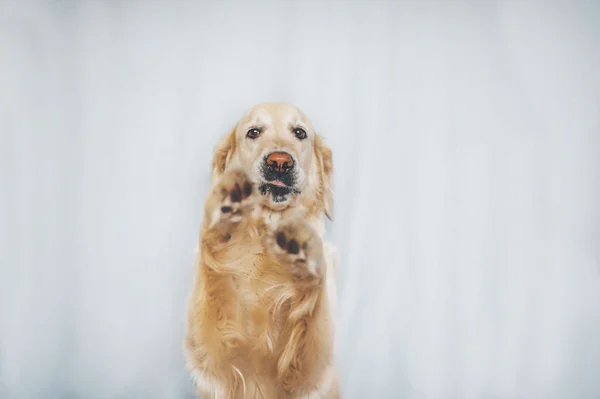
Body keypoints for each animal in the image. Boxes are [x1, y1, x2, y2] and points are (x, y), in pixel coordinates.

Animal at [185, 104, 340, 399]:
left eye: (300, 132)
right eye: (253, 132)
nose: (280, 162)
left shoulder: (311, 373)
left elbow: (313, 315)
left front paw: (304, 254)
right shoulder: (214, 356)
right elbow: (213, 279)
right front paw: (225, 213)